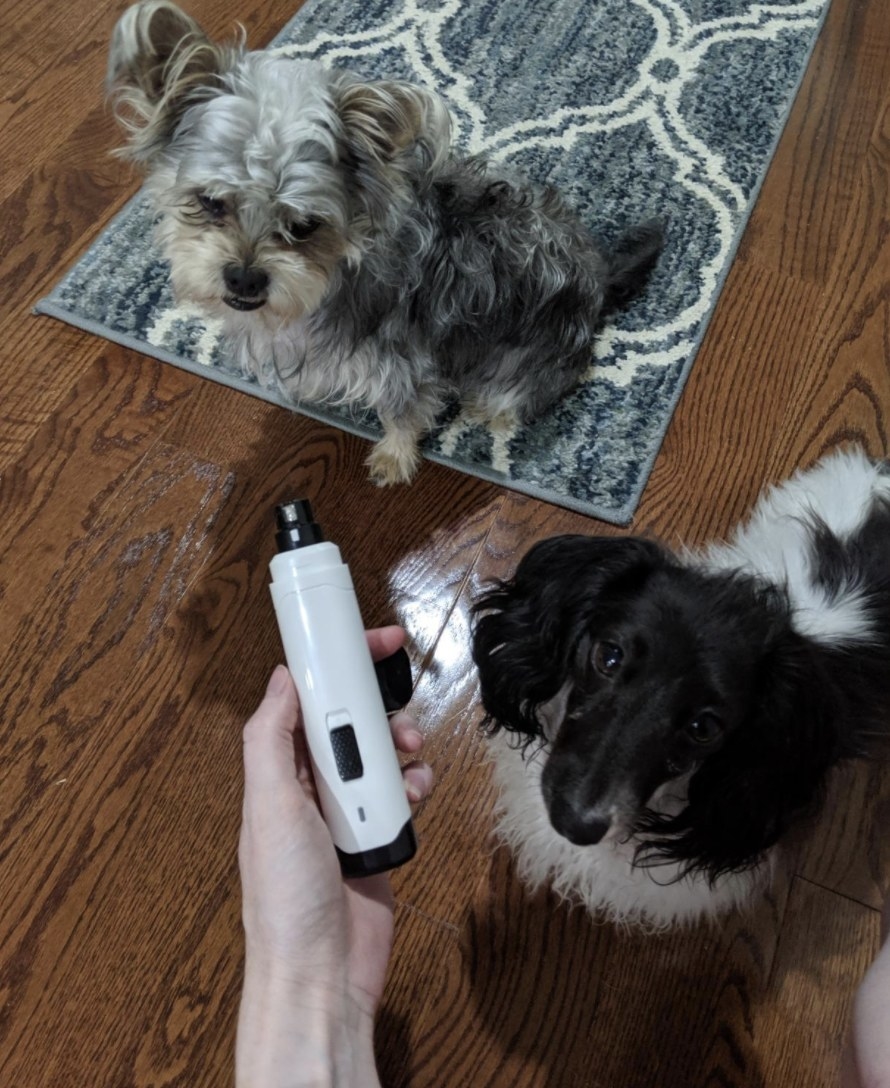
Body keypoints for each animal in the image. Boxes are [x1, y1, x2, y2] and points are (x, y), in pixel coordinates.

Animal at [107, 0, 661, 485]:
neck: (330, 282)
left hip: (529, 360)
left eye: (304, 226)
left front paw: (394, 459)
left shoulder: (405, 364)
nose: (244, 278)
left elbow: (403, 414)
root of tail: (597, 279)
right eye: (209, 202)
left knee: (510, 399)